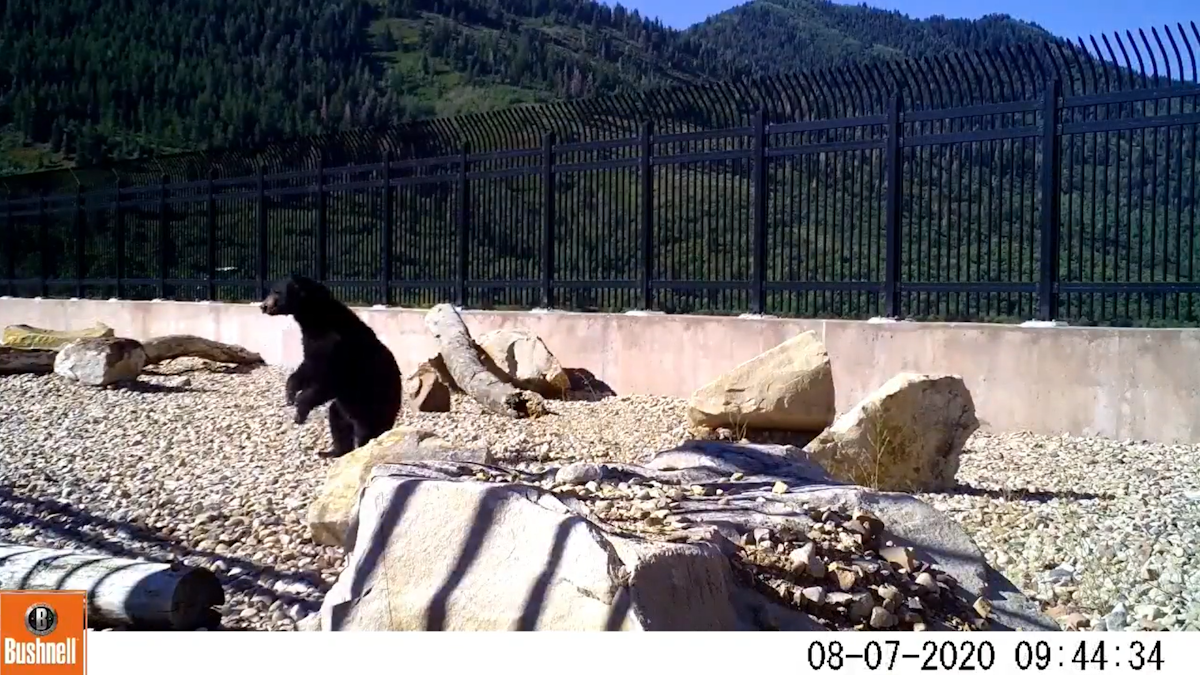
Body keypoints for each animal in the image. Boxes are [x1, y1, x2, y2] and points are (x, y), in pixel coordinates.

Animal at [260, 274, 403, 458]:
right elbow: (308, 368)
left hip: (371, 403)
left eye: (276, 291)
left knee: (366, 430)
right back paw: (333, 452)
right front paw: (290, 394)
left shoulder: (337, 346)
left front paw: (300, 409)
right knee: (337, 419)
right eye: (272, 289)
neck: (317, 320)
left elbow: (331, 380)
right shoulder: (312, 344)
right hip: (347, 407)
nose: (263, 306)